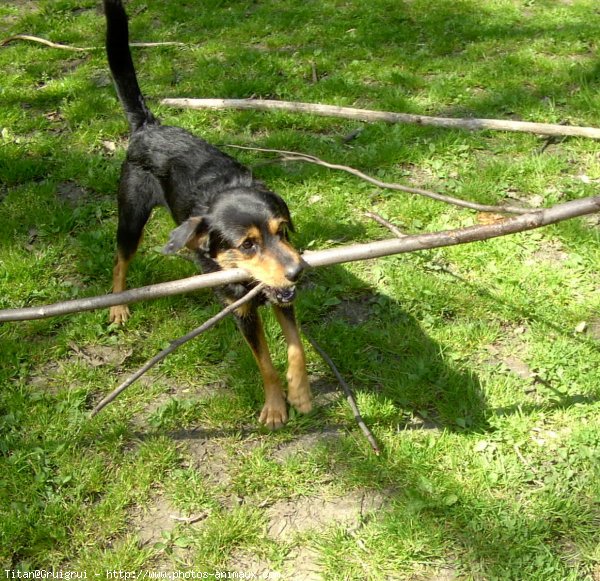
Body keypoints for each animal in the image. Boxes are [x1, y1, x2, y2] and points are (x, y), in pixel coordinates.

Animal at [102, 0, 312, 426]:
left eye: (283, 230)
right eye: (247, 245)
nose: (299, 270)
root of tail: (148, 125)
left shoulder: (282, 295)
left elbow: (296, 347)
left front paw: (300, 393)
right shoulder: (243, 311)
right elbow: (265, 363)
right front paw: (275, 406)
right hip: (131, 216)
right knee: (120, 260)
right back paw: (118, 307)